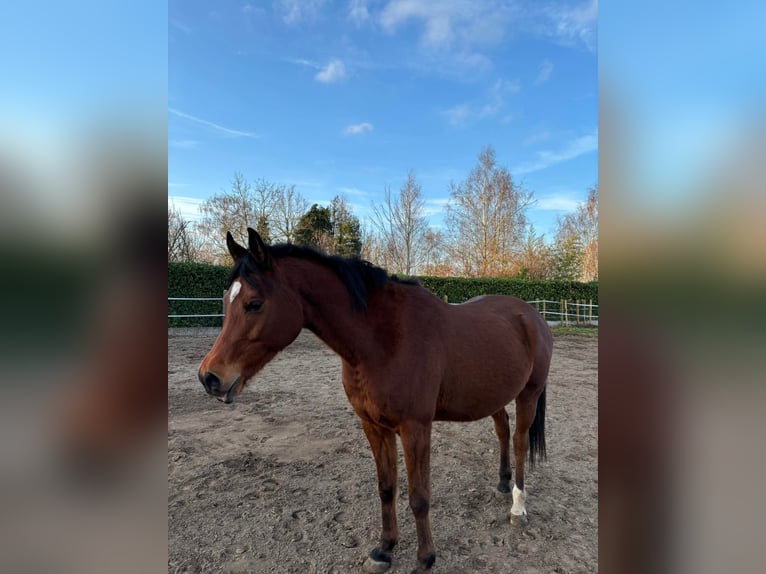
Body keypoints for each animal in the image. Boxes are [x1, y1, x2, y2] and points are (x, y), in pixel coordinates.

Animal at [198, 228, 553, 574]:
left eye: (254, 303)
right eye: (226, 300)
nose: (209, 377)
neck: (383, 339)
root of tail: (531, 315)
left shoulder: (415, 429)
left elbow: (419, 496)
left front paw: (425, 559)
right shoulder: (373, 426)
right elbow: (386, 488)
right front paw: (385, 549)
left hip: (529, 394)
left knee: (519, 442)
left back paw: (518, 508)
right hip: (495, 396)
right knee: (502, 430)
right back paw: (503, 483)